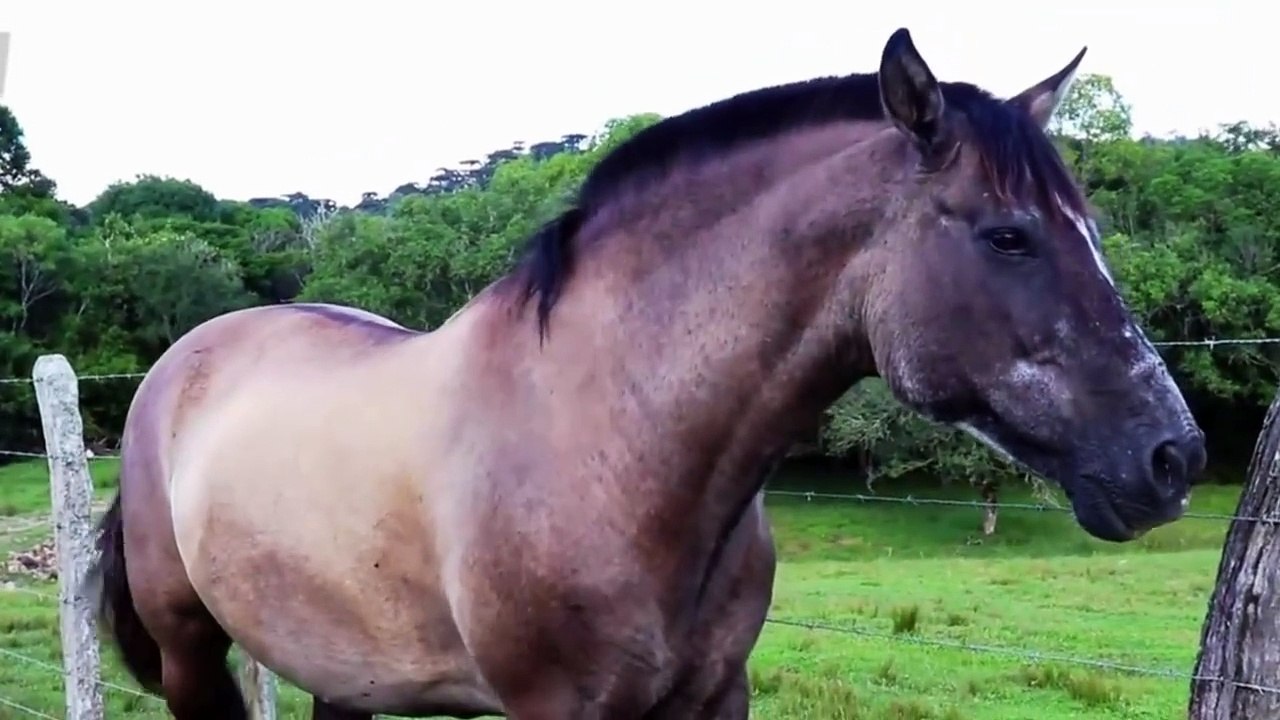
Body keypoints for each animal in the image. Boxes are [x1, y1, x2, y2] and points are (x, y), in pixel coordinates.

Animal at [88, 27, 1206, 720]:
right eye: (1007, 236)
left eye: (1090, 230)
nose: (1174, 455)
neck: (617, 445)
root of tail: (181, 363)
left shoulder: (715, 696)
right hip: (190, 653)